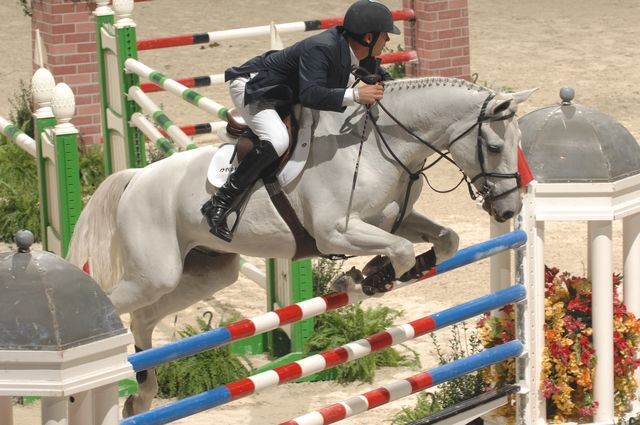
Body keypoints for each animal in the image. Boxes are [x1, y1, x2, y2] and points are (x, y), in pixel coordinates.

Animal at [67, 77, 532, 414]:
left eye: (518, 144)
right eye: (494, 146)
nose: (509, 209)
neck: (382, 147)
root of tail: (135, 178)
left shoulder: (394, 220)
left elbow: (443, 240)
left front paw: (379, 272)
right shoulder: (336, 231)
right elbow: (398, 250)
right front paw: (359, 281)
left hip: (208, 272)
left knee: (144, 318)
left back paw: (141, 395)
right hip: (155, 272)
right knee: (115, 308)